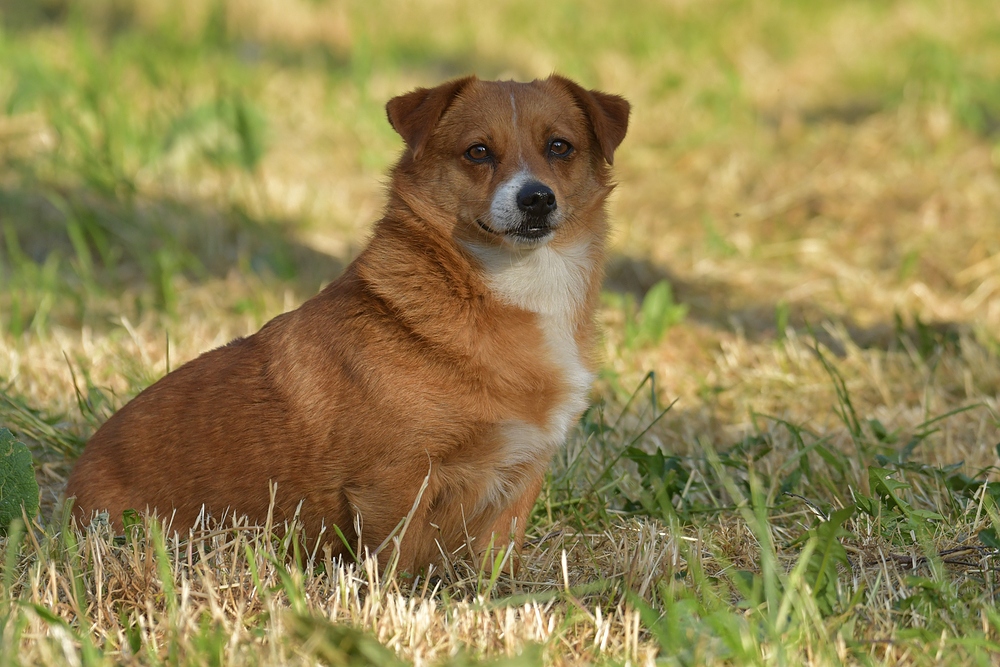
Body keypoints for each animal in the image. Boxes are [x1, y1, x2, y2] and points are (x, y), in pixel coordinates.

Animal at [68, 74, 632, 576]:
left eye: (559, 147)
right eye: (477, 152)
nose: (536, 198)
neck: (512, 286)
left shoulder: (520, 477)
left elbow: (496, 566)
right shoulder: (395, 482)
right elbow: (391, 567)